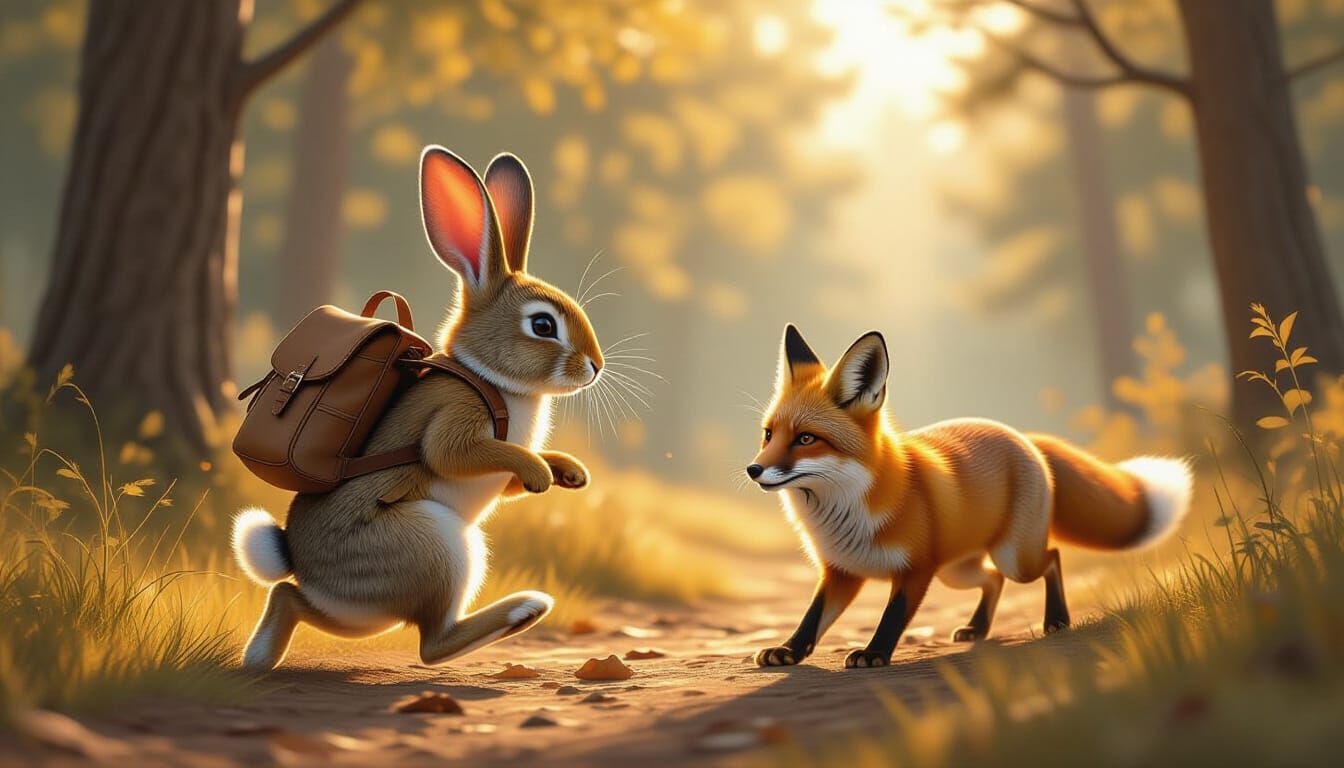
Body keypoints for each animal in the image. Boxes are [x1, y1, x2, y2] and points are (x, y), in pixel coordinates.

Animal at [232, 147, 604, 670]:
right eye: (544, 325)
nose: (595, 367)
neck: (489, 378)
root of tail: (301, 566)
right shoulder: (456, 417)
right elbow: (451, 453)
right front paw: (539, 475)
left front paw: (569, 473)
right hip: (438, 548)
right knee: (433, 643)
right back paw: (525, 610)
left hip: (361, 612)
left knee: (290, 598)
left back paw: (259, 657)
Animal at [747, 325, 1193, 669]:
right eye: (769, 435)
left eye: (806, 439)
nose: (754, 470)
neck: (849, 509)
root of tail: (1021, 436)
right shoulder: (841, 572)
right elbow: (812, 617)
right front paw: (788, 650)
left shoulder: (917, 569)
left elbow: (893, 617)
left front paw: (874, 654)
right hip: (957, 571)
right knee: (993, 579)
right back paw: (978, 628)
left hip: (1013, 558)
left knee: (1050, 558)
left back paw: (1057, 620)